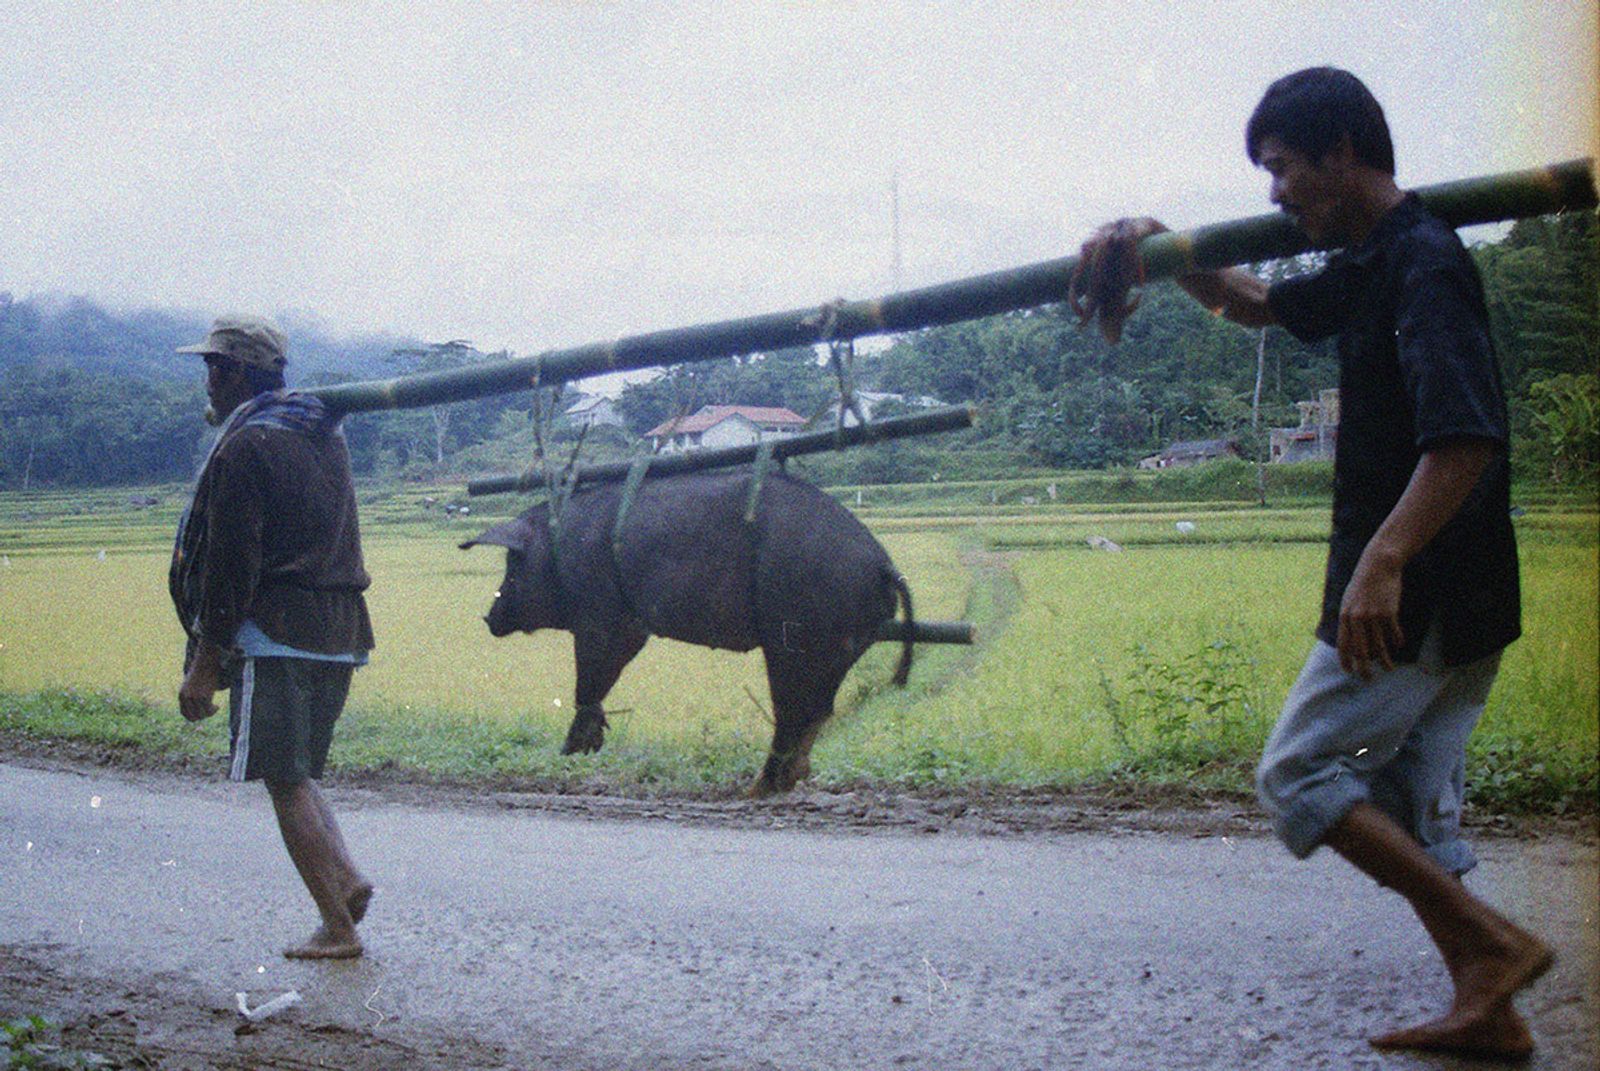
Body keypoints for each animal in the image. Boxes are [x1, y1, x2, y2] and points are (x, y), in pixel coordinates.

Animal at [464, 467, 915, 794]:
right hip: (840, 642)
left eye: (512, 563)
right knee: (819, 712)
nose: (488, 618)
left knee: (796, 711)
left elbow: (592, 673)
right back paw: (782, 782)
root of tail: (883, 565)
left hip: (798, 633)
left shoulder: (603, 613)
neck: (556, 552)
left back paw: (758, 788)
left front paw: (571, 753)